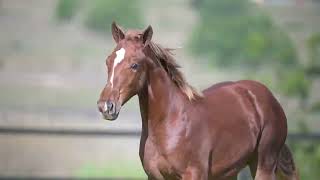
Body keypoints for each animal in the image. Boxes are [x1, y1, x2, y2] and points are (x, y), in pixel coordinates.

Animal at [96, 22, 298, 180]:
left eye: (134, 65)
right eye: (108, 61)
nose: (106, 106)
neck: (170, 123)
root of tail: (267, 96)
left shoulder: (194, 174)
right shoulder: (154, 176)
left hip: (264, 164)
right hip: (229, 172)